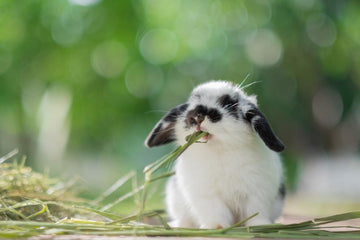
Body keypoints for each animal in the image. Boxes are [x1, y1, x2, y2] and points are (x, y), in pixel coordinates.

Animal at [145, 80, 286, 229]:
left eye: (228, 105)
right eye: (191, 102)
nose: (198, 116)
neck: (220, 150)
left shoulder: (258, 193)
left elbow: (256, 213)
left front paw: (260, 225)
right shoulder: (207, 196)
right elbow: (215, 213)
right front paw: (215, 227)